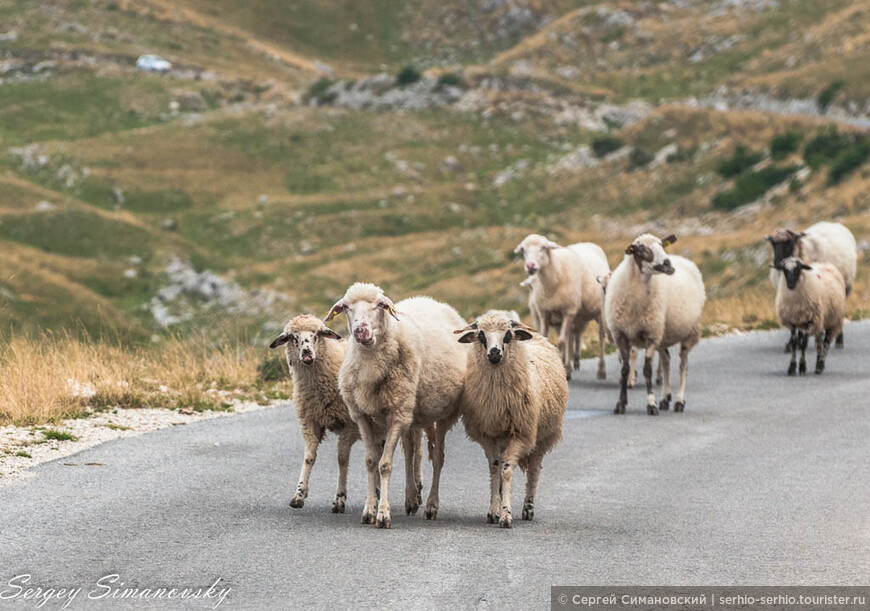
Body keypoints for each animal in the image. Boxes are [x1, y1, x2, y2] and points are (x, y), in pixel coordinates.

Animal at [270, 316, 358, 512]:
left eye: (317, 334)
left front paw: (339, 499)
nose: (306, 353)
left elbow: (342, 460)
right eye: (292, 337)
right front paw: (299, 494)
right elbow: (309, 458)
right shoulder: (310, 421)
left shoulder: (350, 425)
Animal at [326, 284, 470, 528]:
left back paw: (431, 505)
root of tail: (430, 300)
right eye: (345, 307)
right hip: (410, 412)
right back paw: (411, 498)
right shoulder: (362, 415)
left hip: (441, 413)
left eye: (380, 305)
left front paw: (383, 514)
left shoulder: (397, 413)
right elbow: (371, 461)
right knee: (411, 453)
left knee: (438, 458)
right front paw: (369, 510)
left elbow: (385, 465)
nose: (360, 331)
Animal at [456, 314, 572, 528]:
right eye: (481, 335)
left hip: (541, 438)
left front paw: (506, 515)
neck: (497, 397)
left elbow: (507, 471)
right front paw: (493, 511)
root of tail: (538, 336)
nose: (494, 354)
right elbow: (495, 469)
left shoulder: (520, 434)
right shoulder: (488, 436)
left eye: (508, 335)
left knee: (534, 471)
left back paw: (528, 508)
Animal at [516, 233, 608, 378]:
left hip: (600, 312)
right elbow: (547, 339)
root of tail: (587, 243)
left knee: (601, 336)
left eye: (544, 247)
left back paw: (601, 370)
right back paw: (572, 364)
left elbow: (561, 341)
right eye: (523, 250)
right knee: (574, 337)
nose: (530, 266)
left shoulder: (568, 311)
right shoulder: (544, 313)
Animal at [608, 234, 708, 416]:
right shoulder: (620, 335)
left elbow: (647, 370)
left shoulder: (651, 335)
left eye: (662, 244)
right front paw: (620, 404)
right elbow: (625, 370)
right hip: (663, 334)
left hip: (689, 333)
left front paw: (651, 404)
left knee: (683, 367)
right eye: (641, 249)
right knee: (666, 362)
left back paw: (679, 401)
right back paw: (664, 399)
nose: (668, 264)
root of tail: (685, 260)